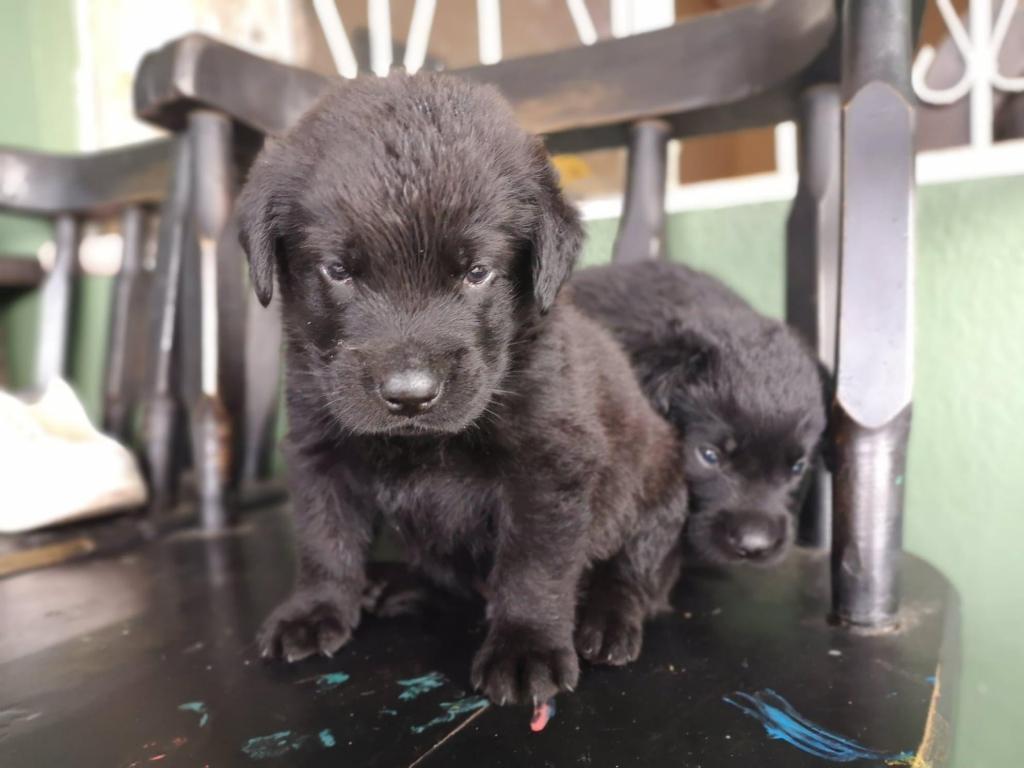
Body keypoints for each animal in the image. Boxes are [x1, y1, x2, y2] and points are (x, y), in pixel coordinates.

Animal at [238, 75, 688, 708]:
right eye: (337, 271)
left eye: (477, 273)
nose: (409, 395)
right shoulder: (317, 449)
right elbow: (323, 538)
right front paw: (315, 608)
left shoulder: (549, 466)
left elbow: (533, 565)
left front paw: (526, 646)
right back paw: (394, 585)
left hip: (658, 493)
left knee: (638, 572)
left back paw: (608, 619)